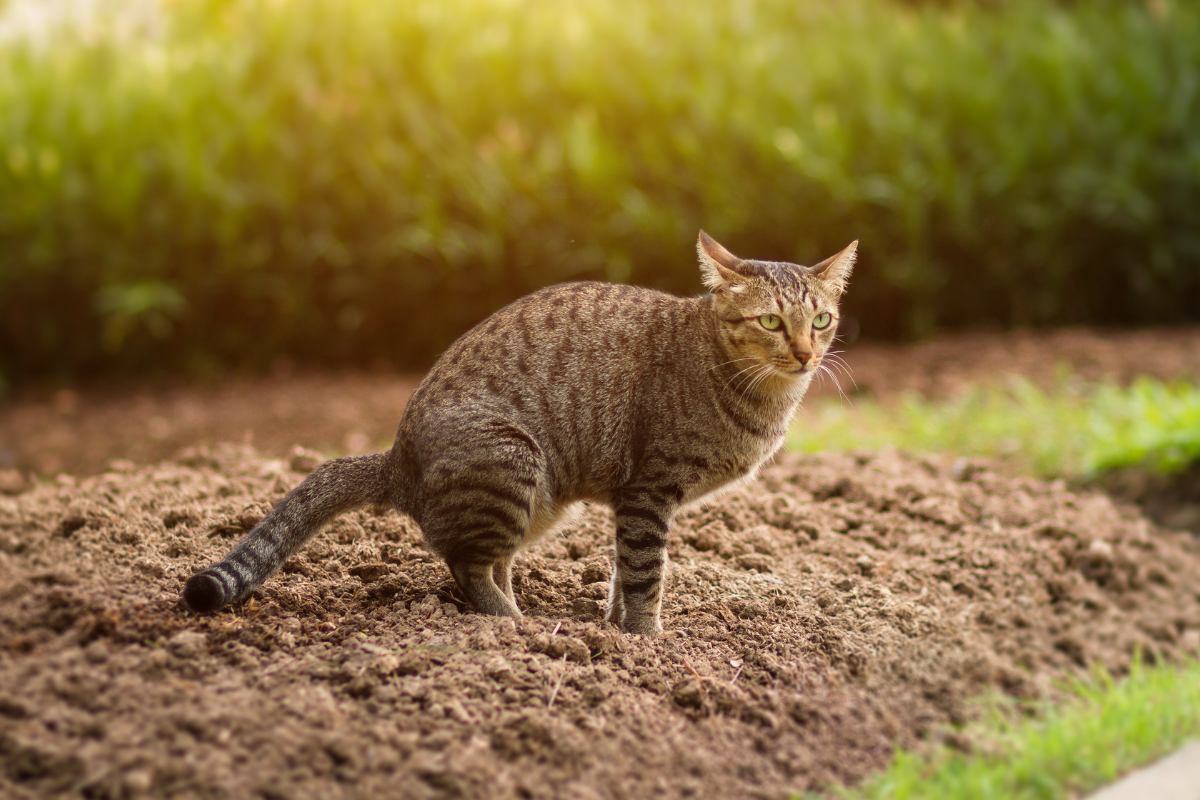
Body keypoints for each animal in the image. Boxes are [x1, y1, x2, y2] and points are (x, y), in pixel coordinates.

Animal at [182, 232, 859, 638]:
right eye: (771, 321)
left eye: (822, 319)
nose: (806, 353)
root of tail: (396, 458)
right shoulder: (648, 492)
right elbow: (646, 574)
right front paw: (646, 642)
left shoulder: (634, 503)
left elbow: (623, 573)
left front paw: (613, 626)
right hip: (512, 461)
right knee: (467, 566)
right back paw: (515, 627)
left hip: (539, 501)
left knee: (487, 560)